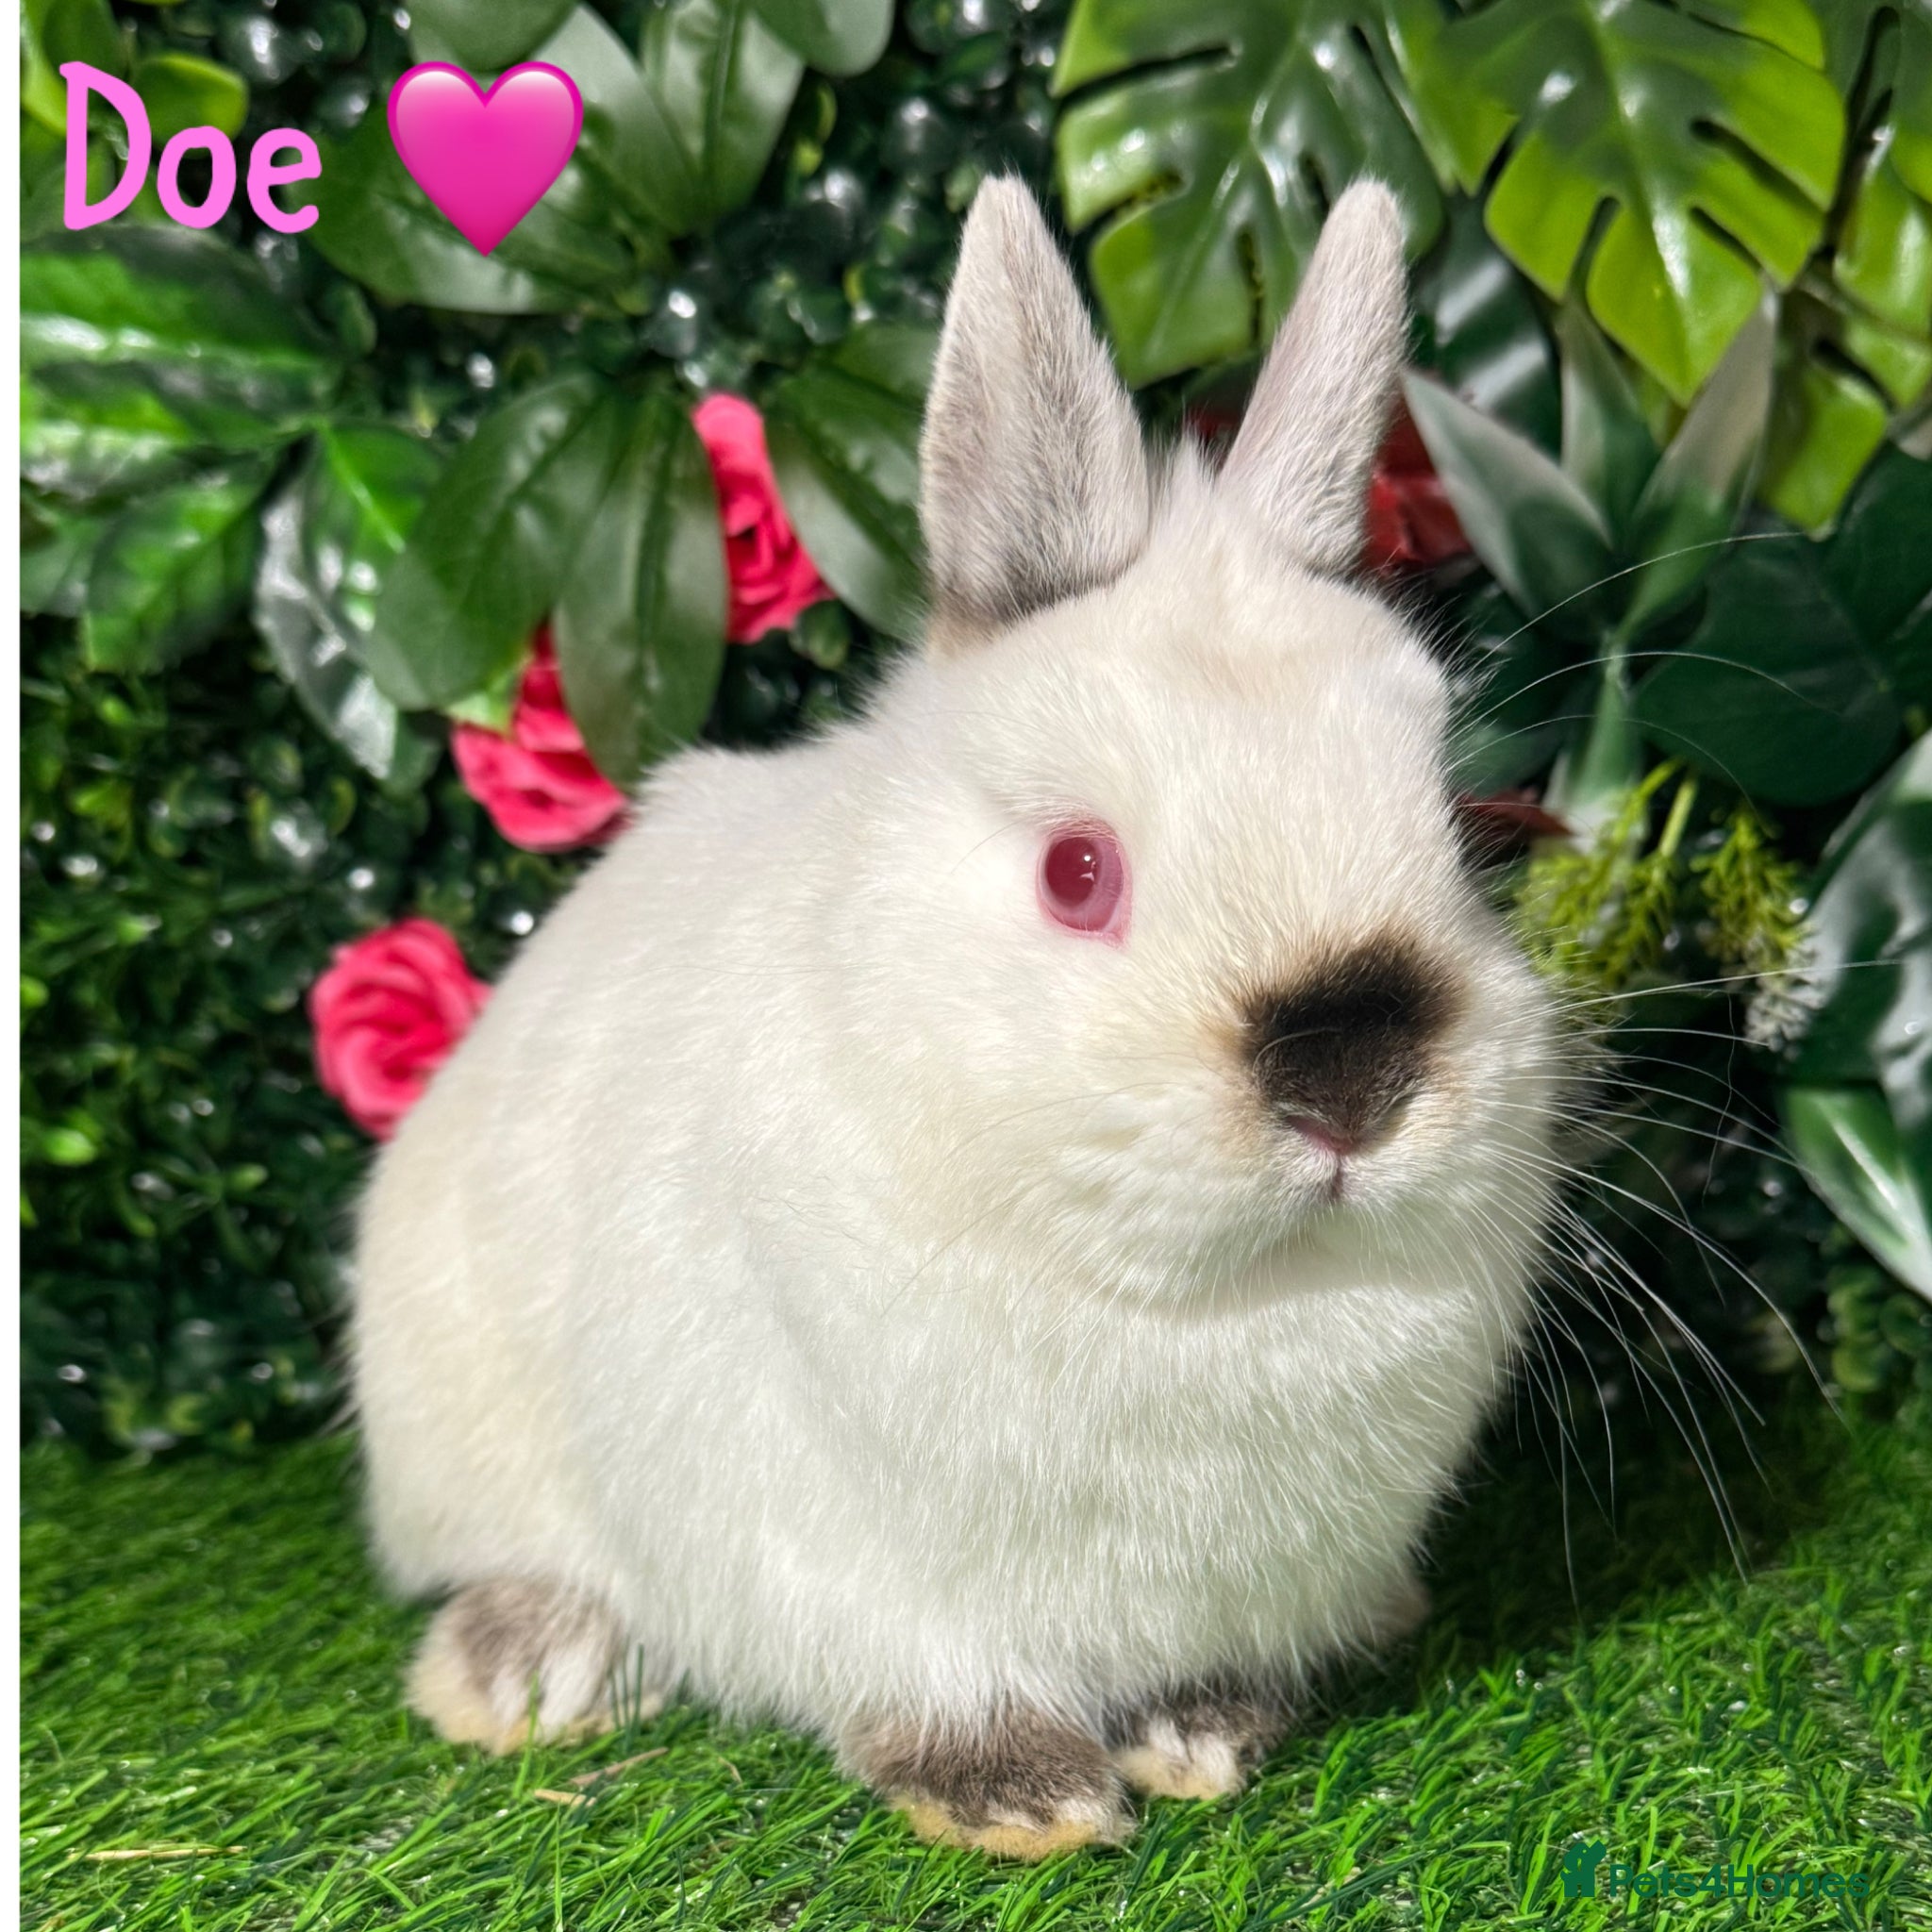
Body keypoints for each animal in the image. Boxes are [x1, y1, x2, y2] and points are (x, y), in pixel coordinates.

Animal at [351, 176, 1564, 1859]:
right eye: (1076, 873)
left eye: (1454, 827)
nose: (1352, 1077)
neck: (1211, 1306)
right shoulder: (843, 1558)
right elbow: (933, 1689)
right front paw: (1025, 1798)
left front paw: (1204, 1734)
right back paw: (522, 1670)